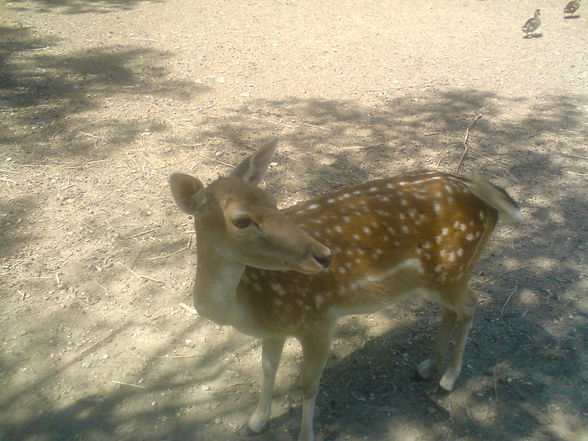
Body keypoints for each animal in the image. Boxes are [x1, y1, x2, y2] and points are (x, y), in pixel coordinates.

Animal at [169, 138, 524, 440]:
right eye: (241, 220)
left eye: (273, 201)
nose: (324, 255)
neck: (245, 306)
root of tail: (489, 198)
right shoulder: (275, 330)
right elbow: (268, 370)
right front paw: (255, 422)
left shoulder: (317, 319)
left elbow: (308, 384)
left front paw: (305, 435)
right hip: (440, 277)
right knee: (452, 310)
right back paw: (427, 367)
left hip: (454, 267)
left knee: (471, 305)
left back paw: (448, 378)